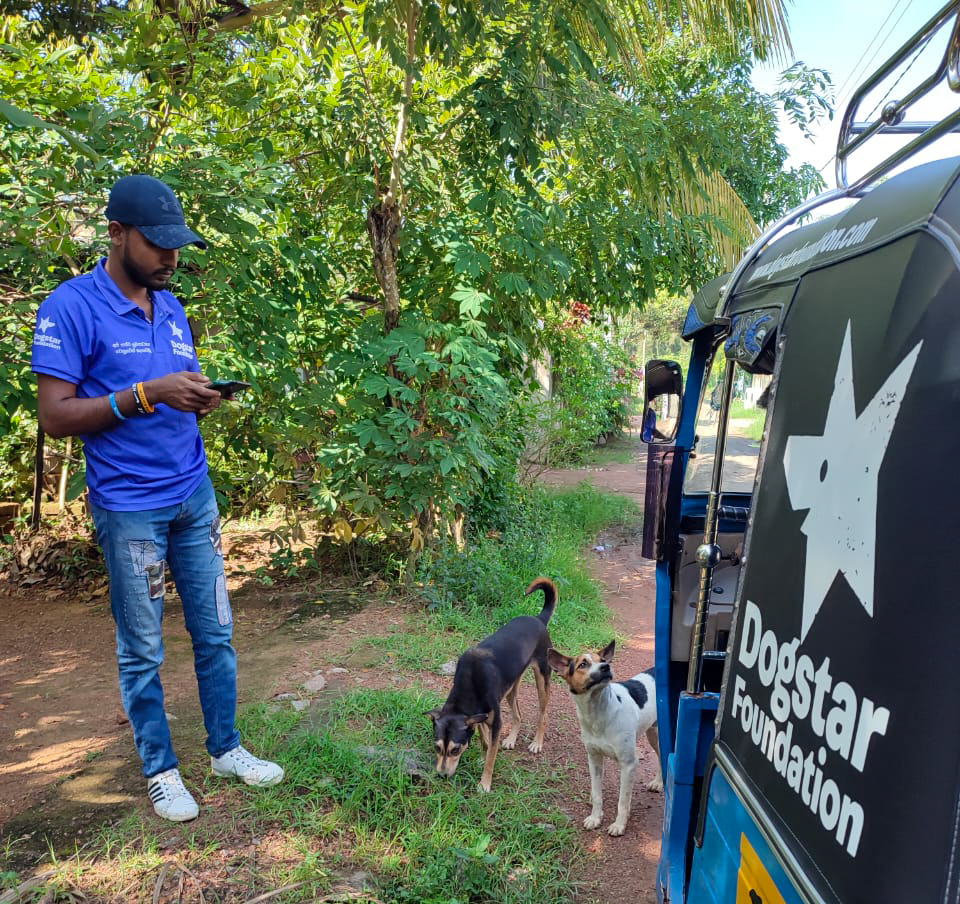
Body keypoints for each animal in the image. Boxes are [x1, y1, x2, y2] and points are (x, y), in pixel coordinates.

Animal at [428, 580, 556, 792]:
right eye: (437, 747)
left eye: (455, 749)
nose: (442, 776)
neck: (470, 683)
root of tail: (538, 619)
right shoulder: (479, 717)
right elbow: (485, 743)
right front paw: (482, 756)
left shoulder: (495, 723)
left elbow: (491, 757)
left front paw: (484, 784)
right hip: (512, 687)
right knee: (518, 714)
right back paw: (511, 739)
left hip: (543, 679)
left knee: (543, 714)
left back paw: (537, 743)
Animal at [548, 640, 660, 836]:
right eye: (583, 664)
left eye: (602, 660)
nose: (606, 667)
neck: (599, 713)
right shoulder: (594, 759)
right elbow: (596, 794)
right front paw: (595, 818)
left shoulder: (629, 764)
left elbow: (622, 801)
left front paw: (619, 825)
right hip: (652, 733)